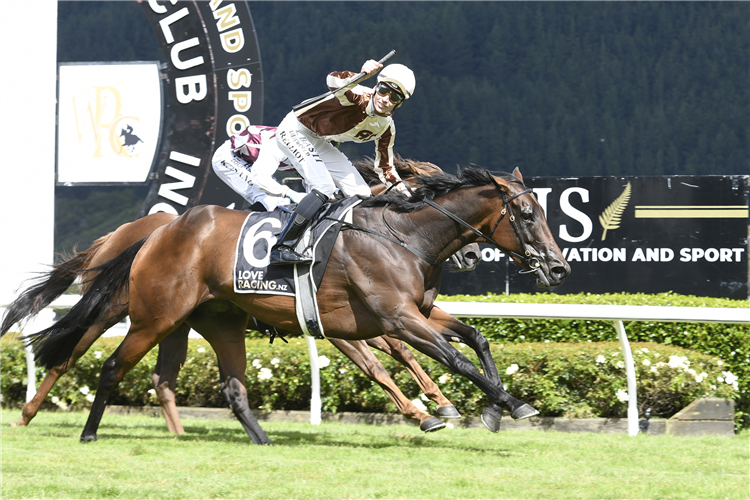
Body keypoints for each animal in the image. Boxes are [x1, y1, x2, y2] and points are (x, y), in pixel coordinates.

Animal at [26, 167, 572, 442]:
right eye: (527, 213)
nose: (558, 267)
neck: (401, 233)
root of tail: (156, 232)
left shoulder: (415, 311)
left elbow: (475, 339)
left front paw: (489, 407)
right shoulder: (392, 317)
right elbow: (448, 359)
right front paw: (499, 405)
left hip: (204, 320)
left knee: (203, 383)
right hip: (147, 314)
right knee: (96, 361)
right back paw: (66, 426)